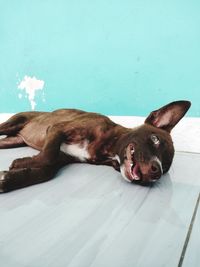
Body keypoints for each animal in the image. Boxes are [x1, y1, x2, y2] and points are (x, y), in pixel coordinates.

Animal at [0, 100, 191, 193]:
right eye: (154, 138)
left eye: (165, 168)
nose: (156, 171)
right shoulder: (57, 129)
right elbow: (47, 156)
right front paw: (21, 163)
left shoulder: (61, 158)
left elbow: (45, 170)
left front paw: (8, 179)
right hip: (11, 124)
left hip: (10, 141)